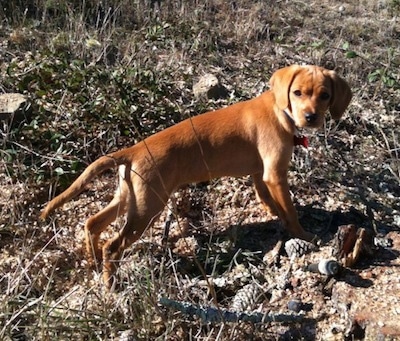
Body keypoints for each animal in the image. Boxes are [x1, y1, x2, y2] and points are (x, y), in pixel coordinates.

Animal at [42, 65, 352, 286]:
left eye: (325, 95)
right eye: (297, 93)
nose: (311, 117)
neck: (280, 110)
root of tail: (133, 150)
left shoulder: (260, 173)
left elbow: (268, 199)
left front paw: (273, 214)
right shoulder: (275, 174)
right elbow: (290, 210)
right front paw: (303, 234)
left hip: (131, 198)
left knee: (92, 223)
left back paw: (92, 261)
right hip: (148, 208)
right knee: (112, 244)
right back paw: (110, 283)